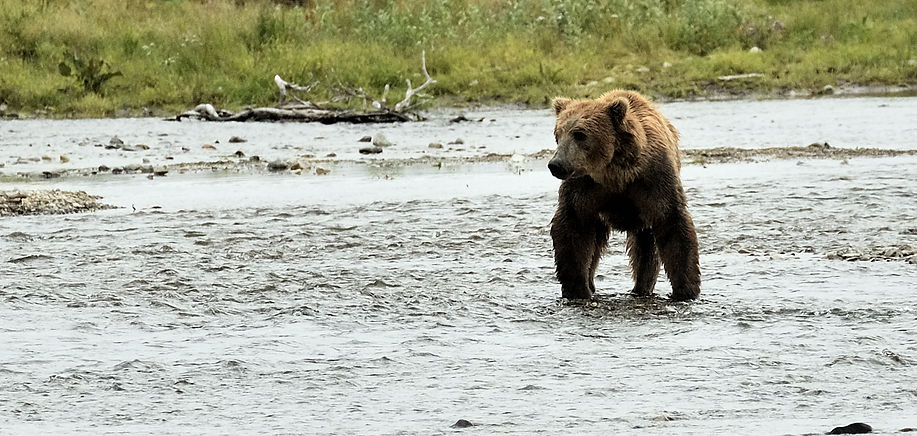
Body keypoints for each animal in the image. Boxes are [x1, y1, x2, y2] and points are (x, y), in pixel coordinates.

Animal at [547, 90, 700, 301]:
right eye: (558, 134)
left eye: (579, 134)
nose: (556, 164)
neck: (616, 172)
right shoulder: (584, 187)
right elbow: (573, 227)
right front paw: (578, 289)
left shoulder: (654, 180)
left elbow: (673, 224)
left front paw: (685, 290)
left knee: (645, 248)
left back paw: (641, 288)